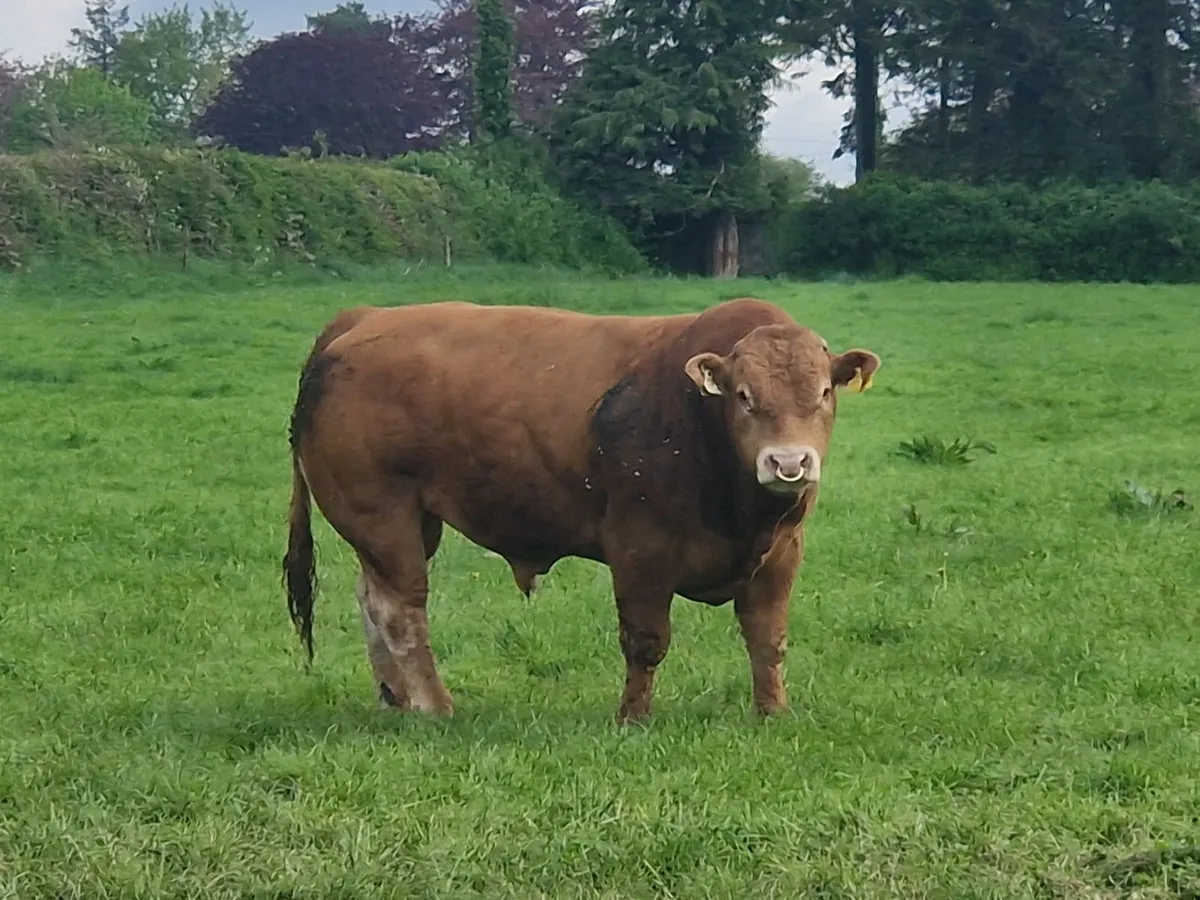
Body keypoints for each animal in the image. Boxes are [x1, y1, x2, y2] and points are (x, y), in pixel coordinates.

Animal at [282, 297, 881, 723]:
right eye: (743, 396)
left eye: (824, 393)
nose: (789, 462)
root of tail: (364, 318)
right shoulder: (640, 548)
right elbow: (646, 642)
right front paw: (633, 718)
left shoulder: (781, 553)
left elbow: (767, 638)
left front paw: (772, 711)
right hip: (384, 516)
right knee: (401, 611)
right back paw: (434, 706)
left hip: (402, 525)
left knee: (372, 598)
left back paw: (395, 698)